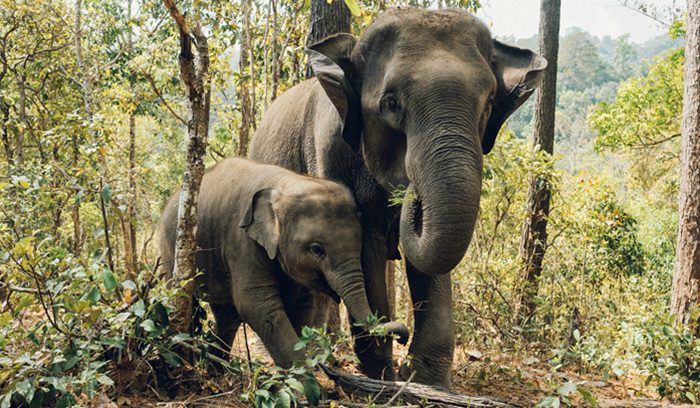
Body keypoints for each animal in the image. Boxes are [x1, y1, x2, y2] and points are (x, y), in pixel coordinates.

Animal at [159, 158, 409, 368]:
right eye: (316, 250)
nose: (403, 337)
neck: (285, 183)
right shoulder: (242, 241)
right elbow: (256, 304)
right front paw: (307, 384)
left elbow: (301, 304)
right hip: (171, 249)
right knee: (186, 300)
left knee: (227, 316)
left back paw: (217, 369)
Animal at [249, 6, 546, 386]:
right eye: (391, 104)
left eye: (489, 104)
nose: (411, 193)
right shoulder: (330, 152)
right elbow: (365, 244)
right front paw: (382, 373)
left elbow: (430, 258)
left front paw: (425, 379)